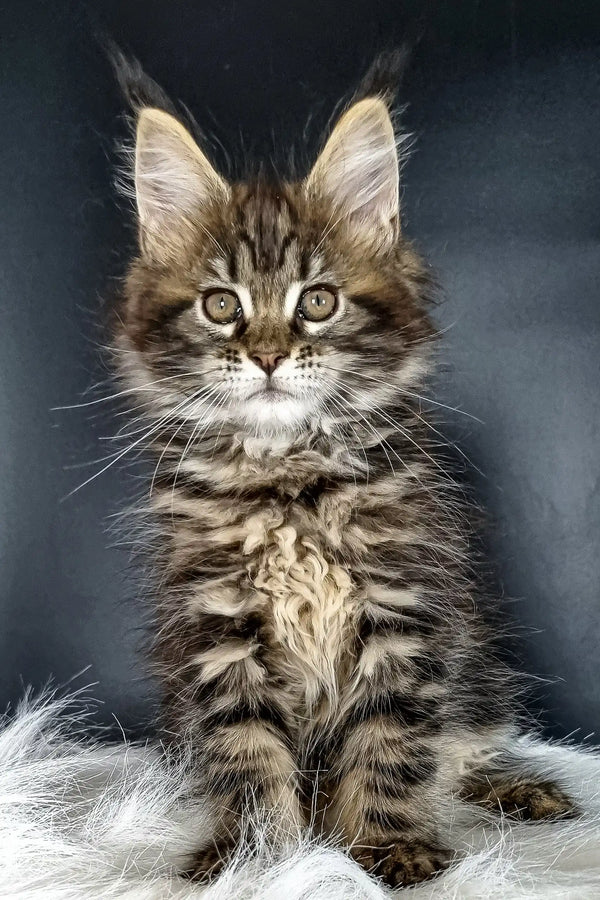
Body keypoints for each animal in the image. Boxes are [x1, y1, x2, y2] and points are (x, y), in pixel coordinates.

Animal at [110, 58, 576, 884]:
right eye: (221, 306)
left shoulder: (404, 611)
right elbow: (245, 753)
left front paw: (387, 846)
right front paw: (255, 858)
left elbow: (391, 743)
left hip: (477, 670)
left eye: (318, 302)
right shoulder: (219, 630)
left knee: (465, 749)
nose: (267, 354)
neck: (291, 480)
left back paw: (518, 787)